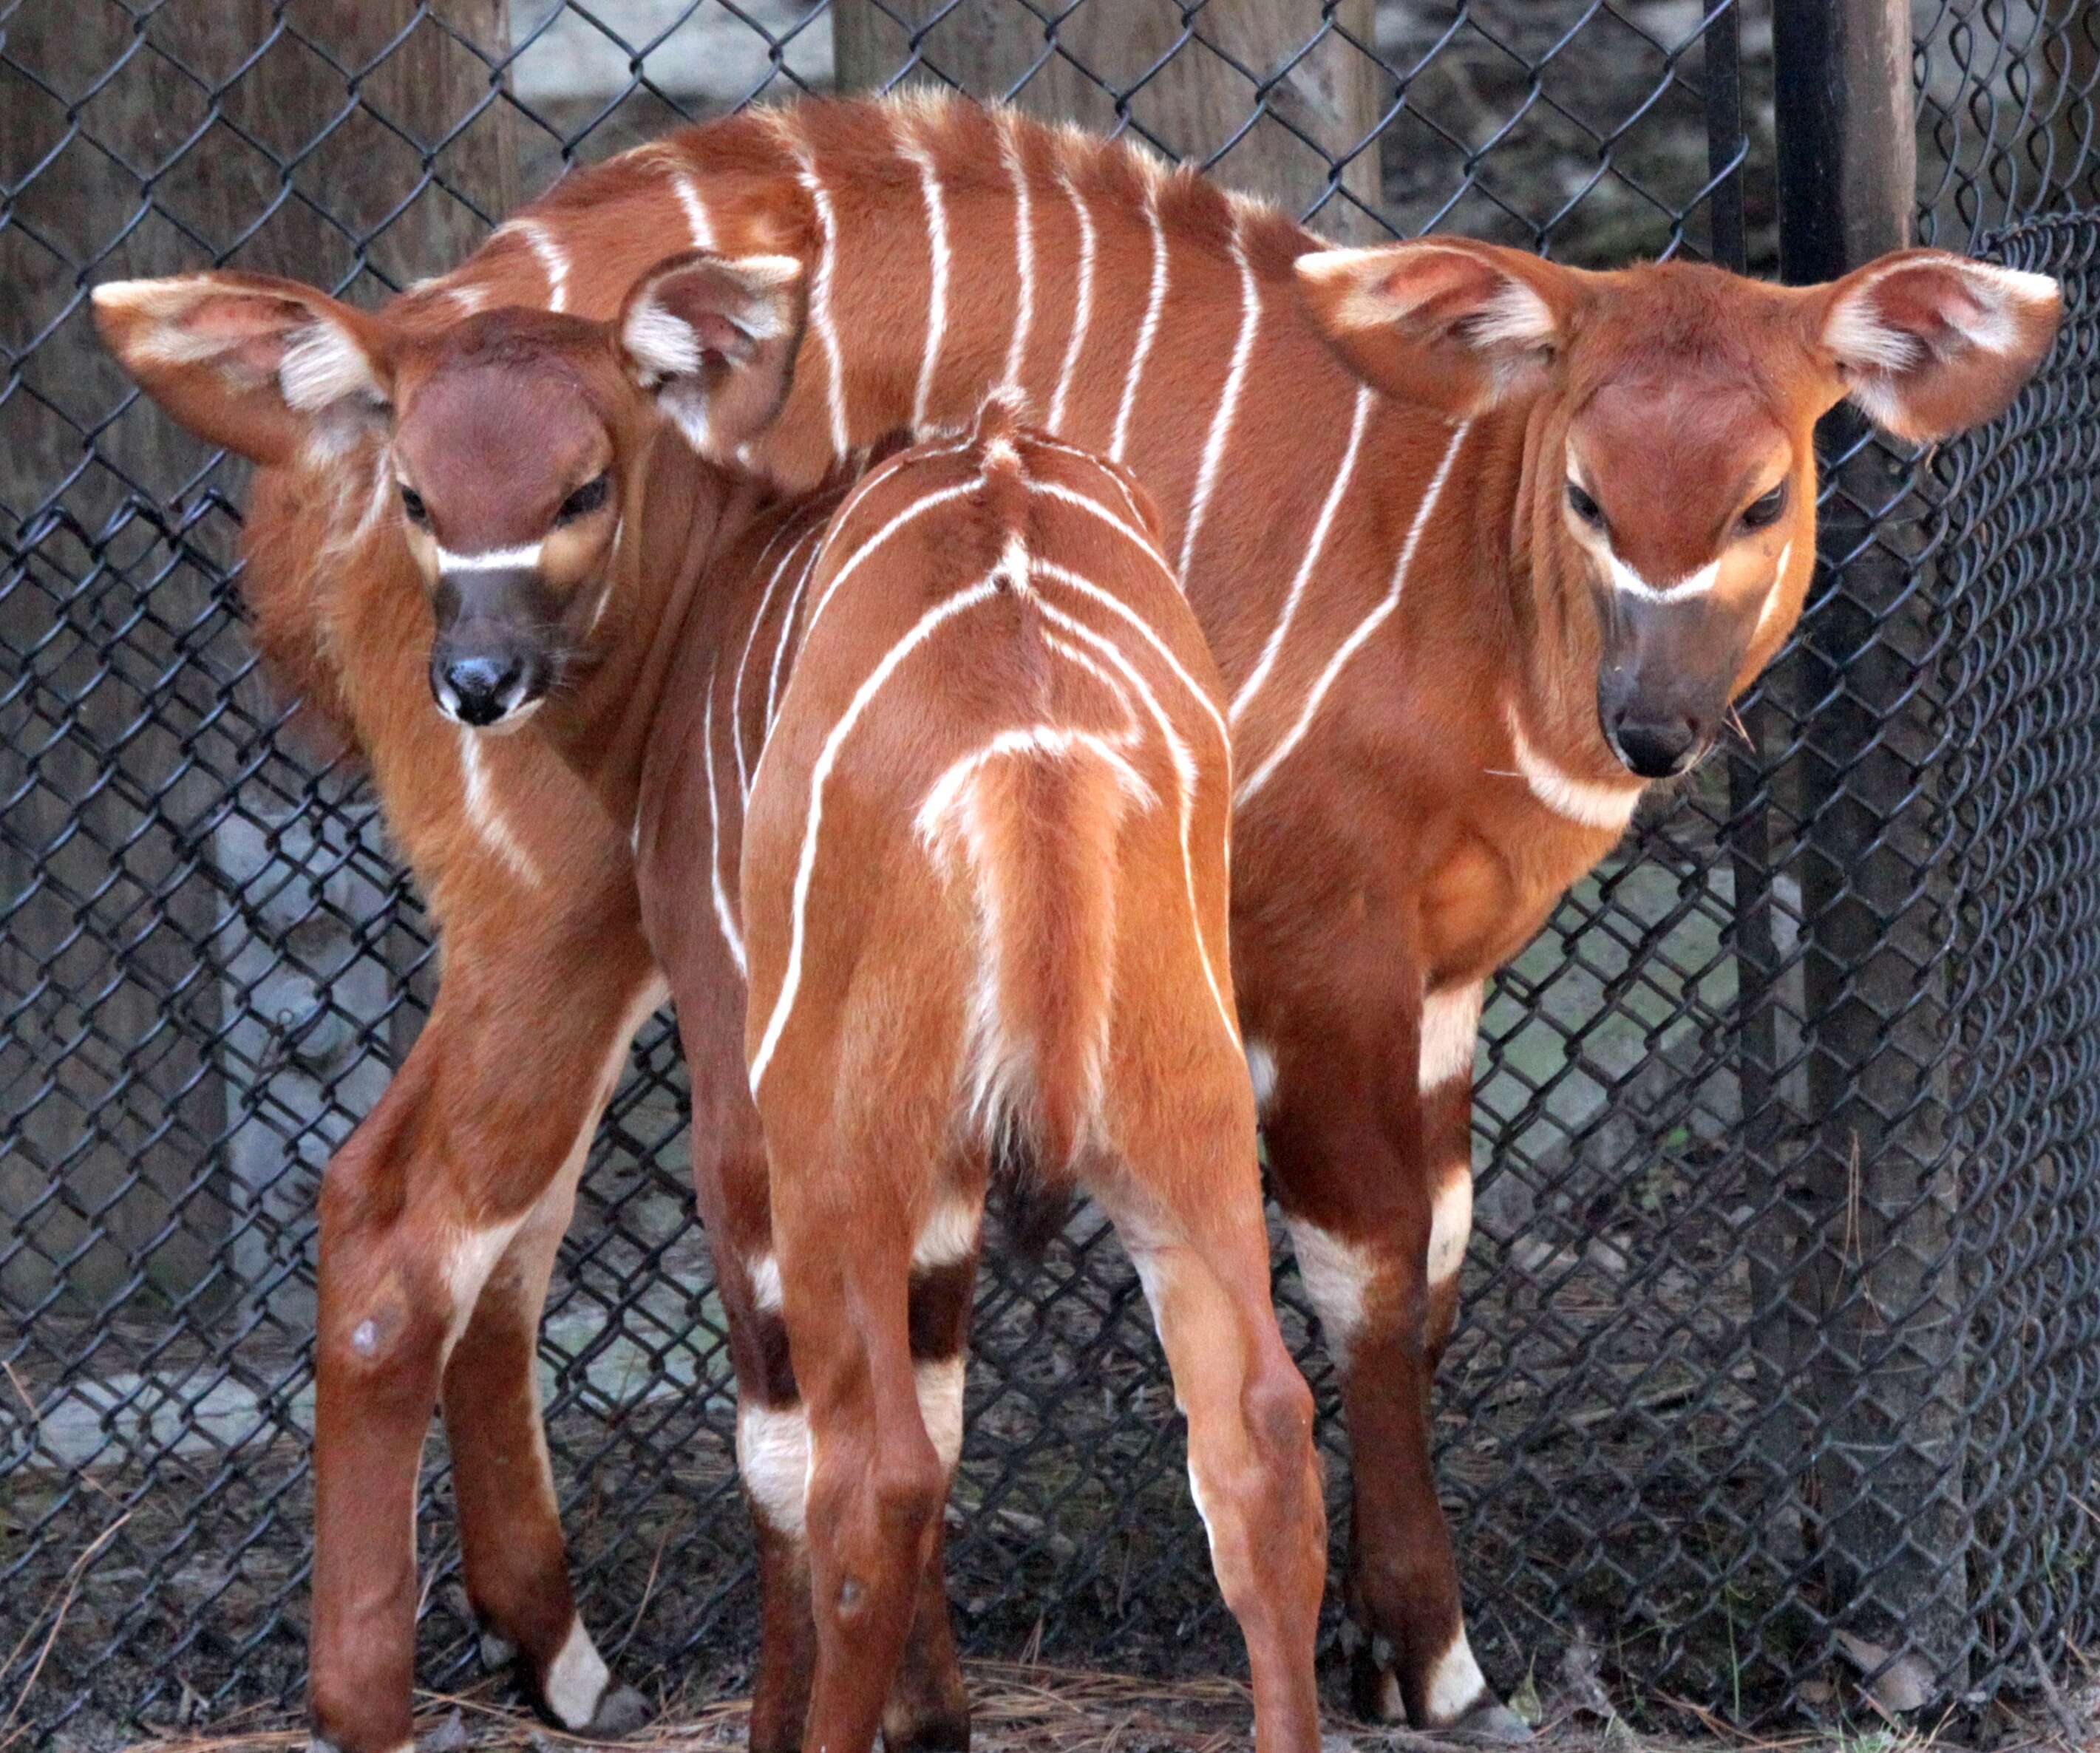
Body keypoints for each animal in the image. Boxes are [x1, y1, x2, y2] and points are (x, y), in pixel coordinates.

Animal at [98, 92, 2049, 1753]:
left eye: (1761, 491)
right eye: (1586, 485)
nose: (1654, 722)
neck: (1472, 582)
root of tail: (338, 422)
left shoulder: (1429, 988)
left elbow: (1419, 1270)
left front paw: (1360, 1646)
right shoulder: (1320, 949)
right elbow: (1368, 1278)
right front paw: (1432, 1655)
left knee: (516, 1227)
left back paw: (560, 1653)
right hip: (558, 903)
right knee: (398, 1218)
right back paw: (387, 1692)